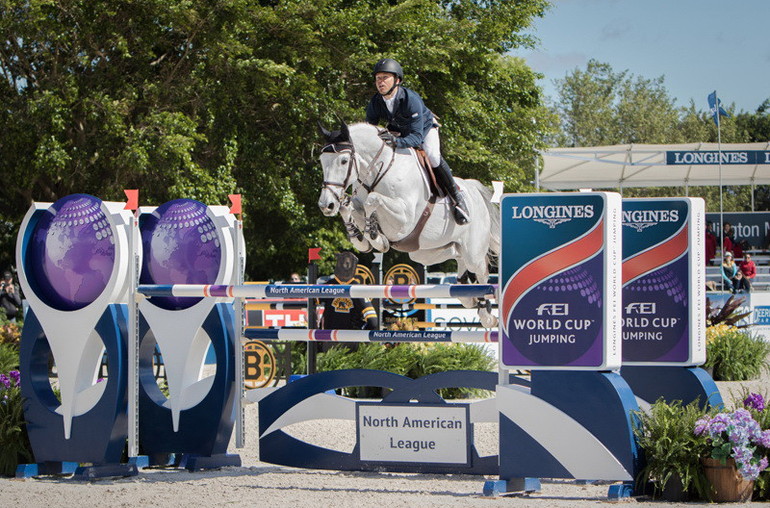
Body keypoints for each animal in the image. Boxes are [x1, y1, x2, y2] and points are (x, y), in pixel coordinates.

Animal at [316, 123, 498, 330]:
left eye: (344, 161)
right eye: (322, 160)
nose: (326, 205)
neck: (379, 171)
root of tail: (474, 190)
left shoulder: (404, 220)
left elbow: (373, 200)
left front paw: (377, 239)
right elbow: (349, 208)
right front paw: (361, 238)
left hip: (472, 251)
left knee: (481, 272)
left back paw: (486, 314)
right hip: (428, 252)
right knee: (458, 259)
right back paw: (467, 295)